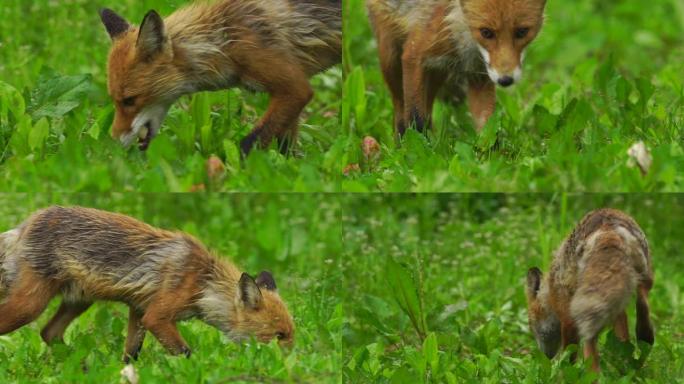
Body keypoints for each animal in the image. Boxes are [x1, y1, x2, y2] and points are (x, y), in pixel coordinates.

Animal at [0, 207, 294, 360]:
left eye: (291, 335)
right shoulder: (157, 316)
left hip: (79, 300)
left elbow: (131, 353)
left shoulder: (139, 310)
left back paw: (81, 363)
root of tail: (24, 225)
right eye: (279, 335)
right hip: (30, 305)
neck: (202, 283)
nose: (295, 362)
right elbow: (186, 353)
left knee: (48, 333)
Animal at [99, 0, 342, 153]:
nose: (112, 146)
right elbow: (284, 143)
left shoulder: (294, 88)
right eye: (114, 101)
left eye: (129, 100)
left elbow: (249, 143)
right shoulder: (287, 96)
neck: (224, 41)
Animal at [366, 0, 548, 136]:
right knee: (400, 110)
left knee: (428, 109)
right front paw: (417, 151)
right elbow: (415, 118)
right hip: (391, 60)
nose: (505, 80)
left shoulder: (480, 75)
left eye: (522, 32)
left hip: (438, 72)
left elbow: (486, 125)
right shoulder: (413, 54)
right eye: (486, 32)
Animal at [528, 210, 656, 372]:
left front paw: (563, 370)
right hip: (642, 284)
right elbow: (623, 337)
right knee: (645, 328)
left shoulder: (567, 317)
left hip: (586, 312)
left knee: (590, 345)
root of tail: (608, 226)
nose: (546, 357)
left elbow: (570, 352)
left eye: (532, 326)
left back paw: (594, 374)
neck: (551, 290)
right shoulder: (616, 307)